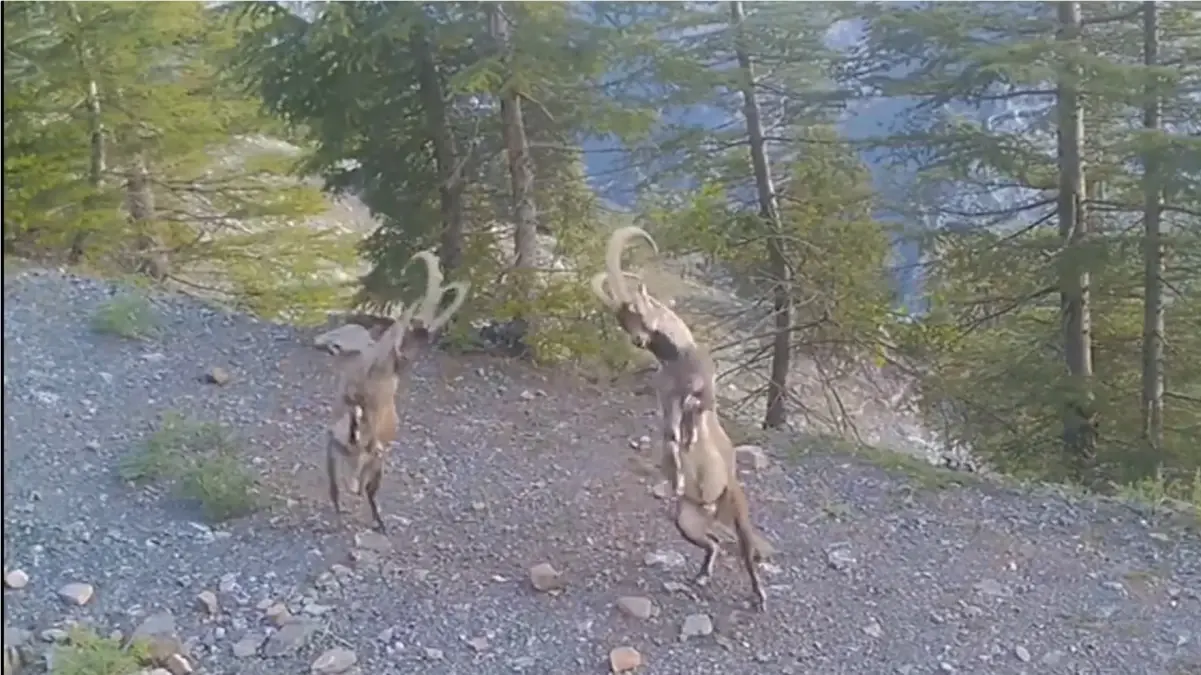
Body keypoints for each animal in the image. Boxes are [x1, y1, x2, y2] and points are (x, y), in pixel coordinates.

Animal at [329, 248, 468, 530]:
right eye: (412, 329)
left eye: (424, 339)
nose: (404, 360)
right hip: (363, 453)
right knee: (357, 482)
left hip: (358, 450)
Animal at [588, 224, 768, 610]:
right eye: (621, 320)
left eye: (639, 309)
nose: (639, 341)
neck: (678, 359)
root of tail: (712, 507)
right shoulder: (665, 397)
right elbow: (669, 433)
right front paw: (678, 476)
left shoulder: (704, 393)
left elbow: (696, 412)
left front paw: (690, 441)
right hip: (686, 520)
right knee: (713, 543)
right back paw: (701, 575)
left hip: (736, 503)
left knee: (744, 550)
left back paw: (759, 596)